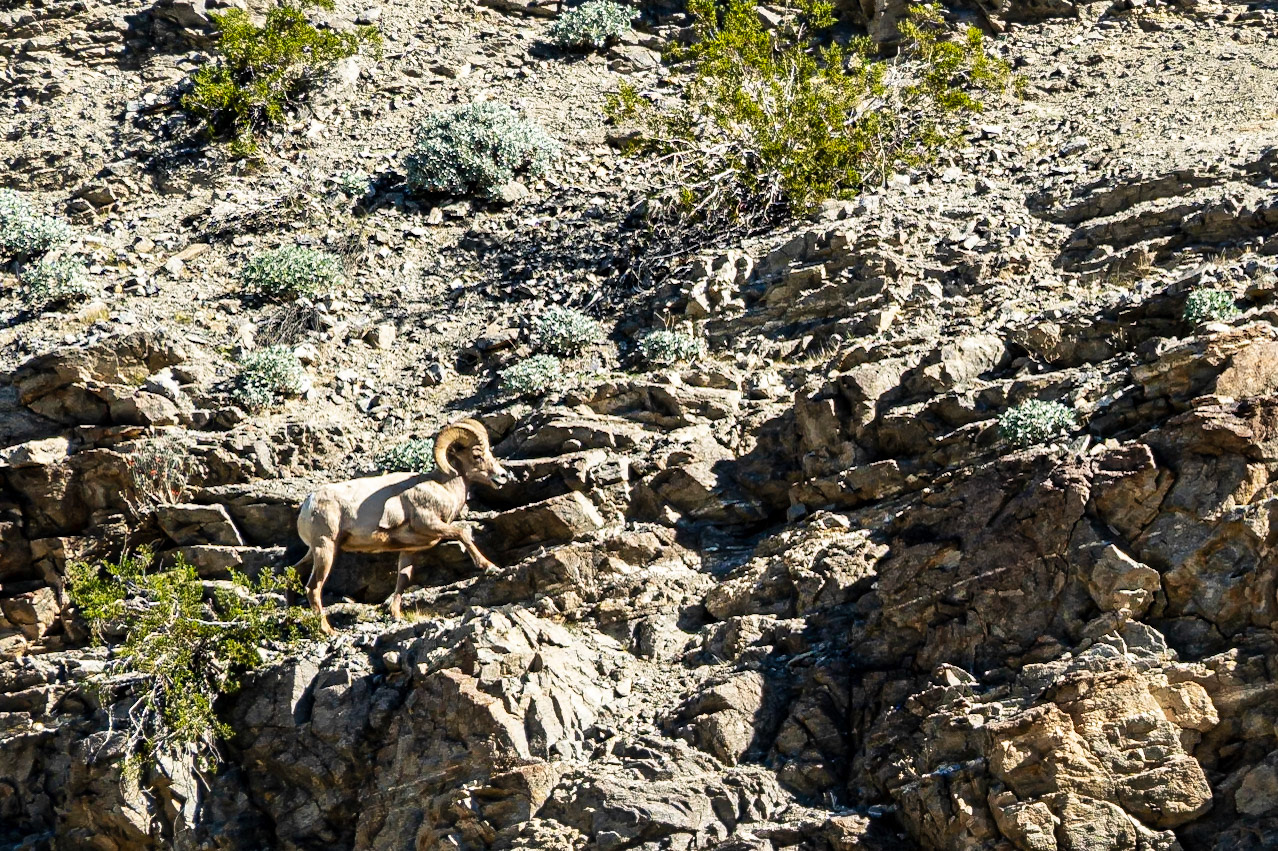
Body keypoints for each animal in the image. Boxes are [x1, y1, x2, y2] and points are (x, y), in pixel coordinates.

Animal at [290, 418, 510, 634]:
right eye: (476, 455)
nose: (503, 476)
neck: (442, 487)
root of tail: (308, 504)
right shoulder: (430, 524)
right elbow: (462, 533)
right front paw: (490, 567)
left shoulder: (409, 549)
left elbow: (403, 579)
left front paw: (396, 614)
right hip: (325, 549)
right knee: (313, 588)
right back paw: (328, 630)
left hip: (314, 552)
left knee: (293, 572)